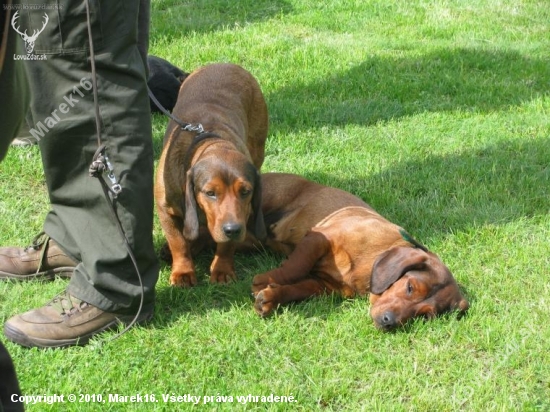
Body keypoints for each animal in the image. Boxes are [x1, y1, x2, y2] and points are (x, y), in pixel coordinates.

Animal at [154, 63, 268, 286]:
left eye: (245, 191)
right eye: (210, 193)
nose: (233, 230)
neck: (210, 143)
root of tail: (225, 63)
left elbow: (225, 246)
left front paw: (222, 269)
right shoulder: (164, 209)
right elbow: (178, 242)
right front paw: (183, 272)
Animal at [251, 172, 470, 330]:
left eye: (424, 316)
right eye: (410, 287)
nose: (389, 322)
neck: (367, 265)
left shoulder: (322, 285)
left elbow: (297, 289)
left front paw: (272, 297)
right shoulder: (319, 238)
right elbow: (296, 267)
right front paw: (265, 281)